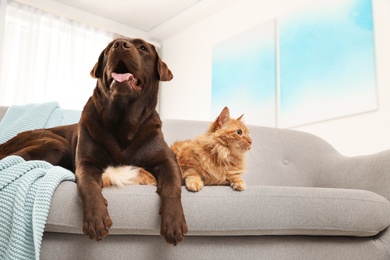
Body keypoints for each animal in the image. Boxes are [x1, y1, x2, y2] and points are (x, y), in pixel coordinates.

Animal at [102, 106, 251, 192]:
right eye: (239, 133)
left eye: (248, 134)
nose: (251, 142)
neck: (222, 155)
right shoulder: (186, 165)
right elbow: (193, 173)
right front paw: (195, 183)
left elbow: (233, 176)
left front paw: (239, 183)